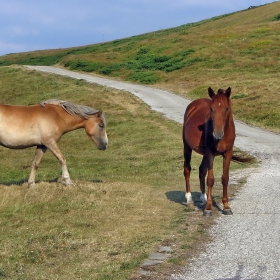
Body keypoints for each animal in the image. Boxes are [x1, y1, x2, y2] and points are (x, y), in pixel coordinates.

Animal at [184, 87, 249, 217]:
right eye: (211, 108)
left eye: (227, 108)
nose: (217, 134)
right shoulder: (210, 153)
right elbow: (210, 179)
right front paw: (208, 209)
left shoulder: (228, 153)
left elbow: (225, 178)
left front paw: (226, 207)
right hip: (187, 147)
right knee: (187, 169)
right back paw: (189, 200)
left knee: (201, 171)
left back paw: (203, 197)